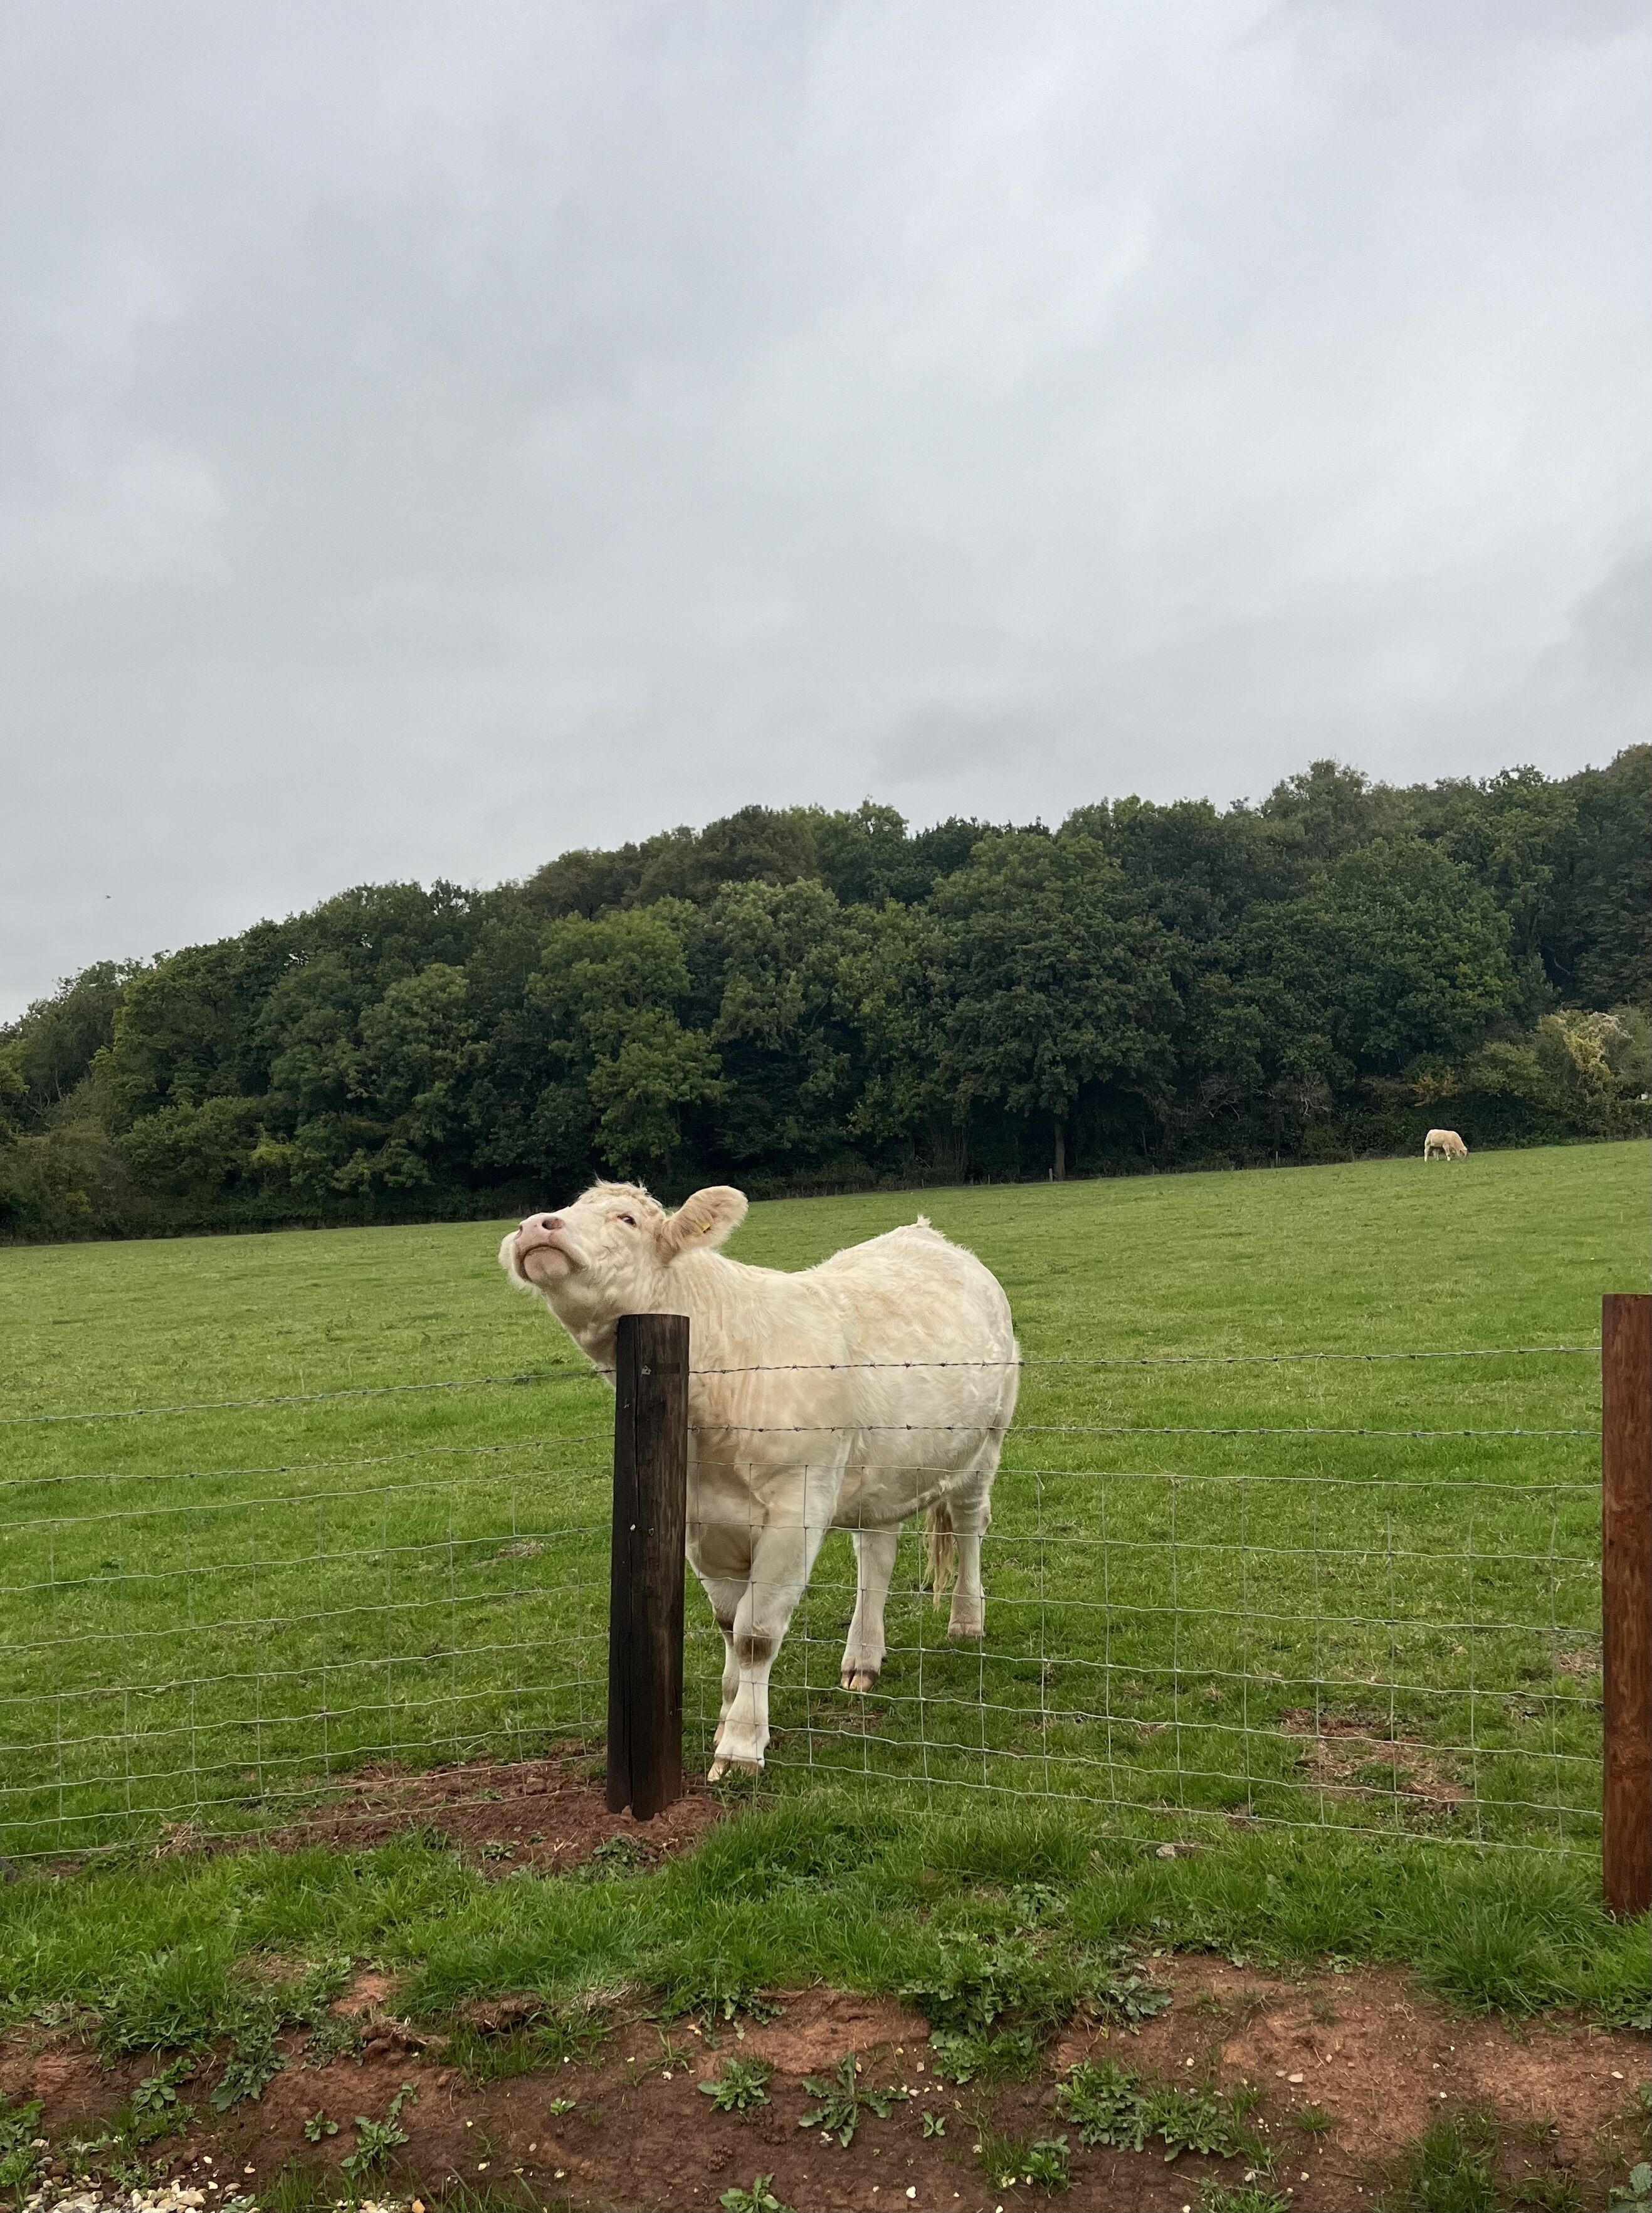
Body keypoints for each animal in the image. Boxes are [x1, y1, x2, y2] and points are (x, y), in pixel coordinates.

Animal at [500, 1182, 1019, 1778]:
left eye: (625, 1218)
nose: (535, 1226)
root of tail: (924, 1233)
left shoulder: (796, 1512)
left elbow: (754, 1635)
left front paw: (741, 1746)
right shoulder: (701, 1522)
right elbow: (729, 1624)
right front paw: (727, 1717)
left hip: (987, 1440)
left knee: (969, 1524)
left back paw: (966, 1621)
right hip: (881, 1470)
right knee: (876, 1553)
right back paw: (862, 1658)